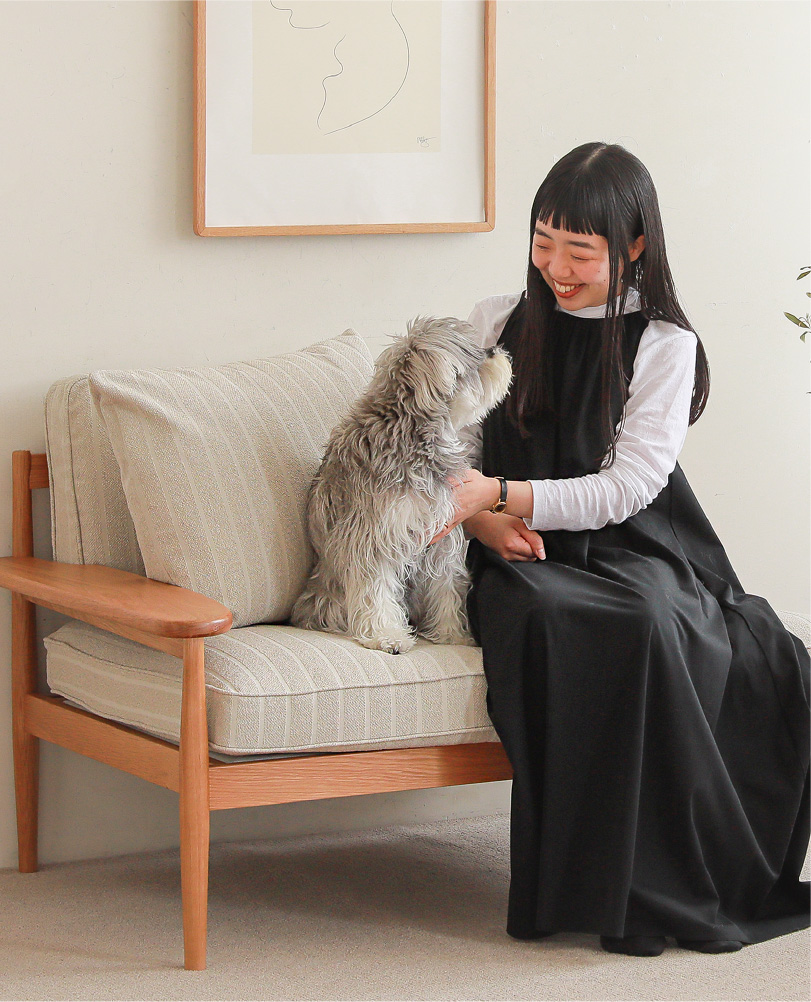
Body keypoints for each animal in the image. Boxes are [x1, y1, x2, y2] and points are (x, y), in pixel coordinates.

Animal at [290, 315, 512, 654]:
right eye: (475, 353)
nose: (498, 350)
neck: (413, 434)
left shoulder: (441, 538)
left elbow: (446, 589)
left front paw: (452, 635)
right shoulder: (372, 537)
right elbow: (375, 590)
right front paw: (387, 635)